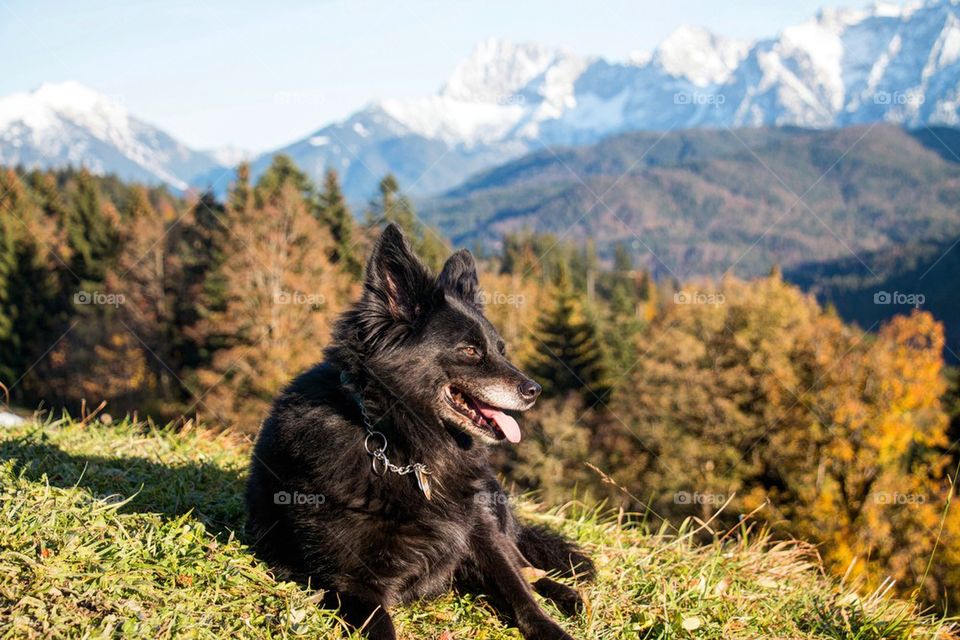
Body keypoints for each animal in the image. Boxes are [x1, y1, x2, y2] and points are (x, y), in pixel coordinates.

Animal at [246, 225, 592, 640]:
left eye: (501, 349)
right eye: (470, 351)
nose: (534, 390)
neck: (402, 448)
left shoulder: (481, 537)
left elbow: (520, 591)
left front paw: (552, 626)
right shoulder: (353, 584)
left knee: (528, 567)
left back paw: (569, 595)